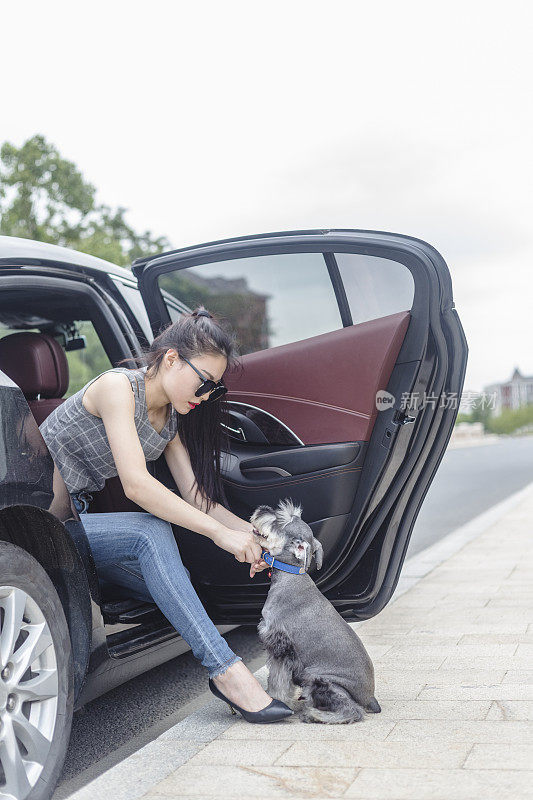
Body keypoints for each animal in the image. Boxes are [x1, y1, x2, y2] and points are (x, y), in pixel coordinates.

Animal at [251, 496, 380, 720]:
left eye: (281, 521)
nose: (262, 509)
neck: (290, 575)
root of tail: (369, 699)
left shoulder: (281, 647)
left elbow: (278, 681)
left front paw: (277, 700)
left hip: (319, 678)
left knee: (351, 710)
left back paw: (313, 714)